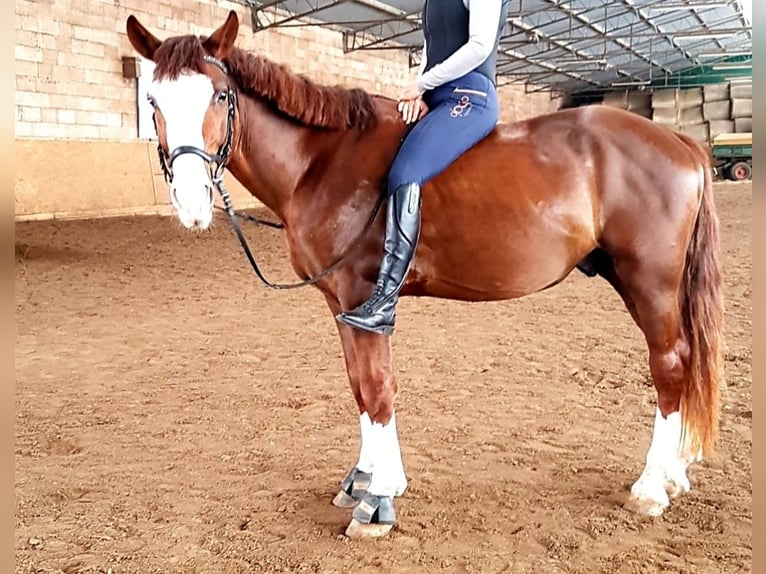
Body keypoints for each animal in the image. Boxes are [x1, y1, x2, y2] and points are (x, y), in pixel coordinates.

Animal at [126, 10, 728, 540]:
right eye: (152, 100)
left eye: (219, 96)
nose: (190, 203)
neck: (321, 161)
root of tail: (680, 142)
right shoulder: (340, 306)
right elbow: (358, 387)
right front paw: (366, 479)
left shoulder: (364, 300)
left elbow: (378, 388)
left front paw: (378, 502)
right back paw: (674, 474)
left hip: (649, 282)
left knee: (670, 365)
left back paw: (651, 487)